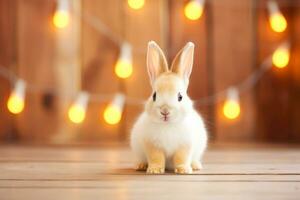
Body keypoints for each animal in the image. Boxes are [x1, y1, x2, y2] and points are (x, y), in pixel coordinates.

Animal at [130, 40, 207, 173]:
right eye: (154, 95)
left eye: (180, 96)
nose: (165, 111)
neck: (168, 125)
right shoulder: (152, 146)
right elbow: (156, 158)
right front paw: (154, 170)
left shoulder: (185, 145)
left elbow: (182, 158)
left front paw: (183, 170)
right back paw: (141, 166)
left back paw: (195, 166)